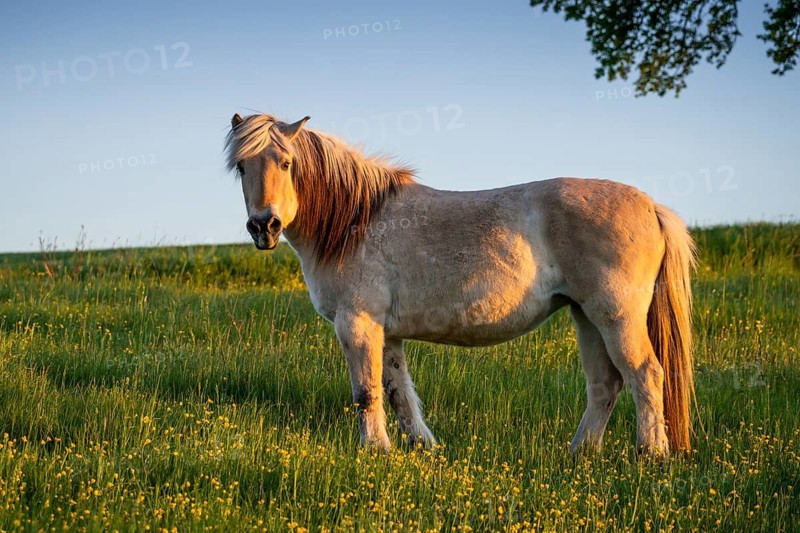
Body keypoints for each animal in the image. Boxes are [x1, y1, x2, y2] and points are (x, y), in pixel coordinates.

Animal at [225, 112, 696, 456]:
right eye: (242, 167)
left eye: (287, 163)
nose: (264, 226)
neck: (355, 222)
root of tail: (651, 205)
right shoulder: (386, 333)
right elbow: (398, 392)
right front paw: (420, 446)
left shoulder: (356, 323)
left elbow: (366, 391)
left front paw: (375, 450)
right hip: (586, 318)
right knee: (604, 385)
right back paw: (579, 453)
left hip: (615, 316)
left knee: (644, 374)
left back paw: (652, 454)